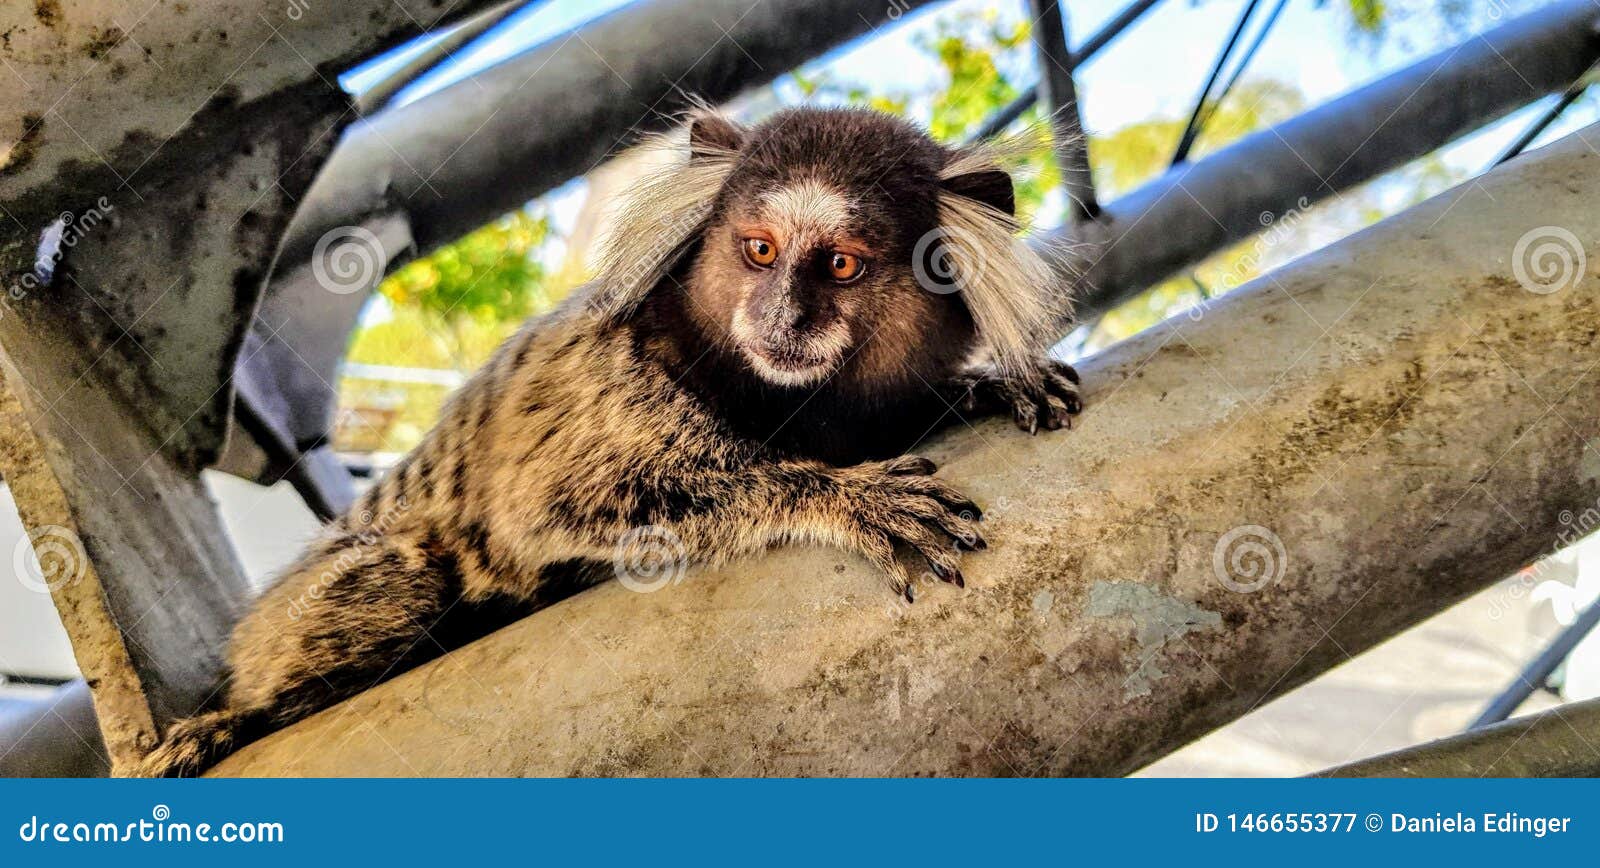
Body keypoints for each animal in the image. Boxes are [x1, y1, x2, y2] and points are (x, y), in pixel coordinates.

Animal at [137, 105, 1081, 778]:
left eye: (840, 265)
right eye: (759, 250)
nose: (780, 316)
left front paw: (1000, 383)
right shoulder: (616, 382)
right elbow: (556, 507)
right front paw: (846, 496)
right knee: (401, 581)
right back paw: (241, 716)